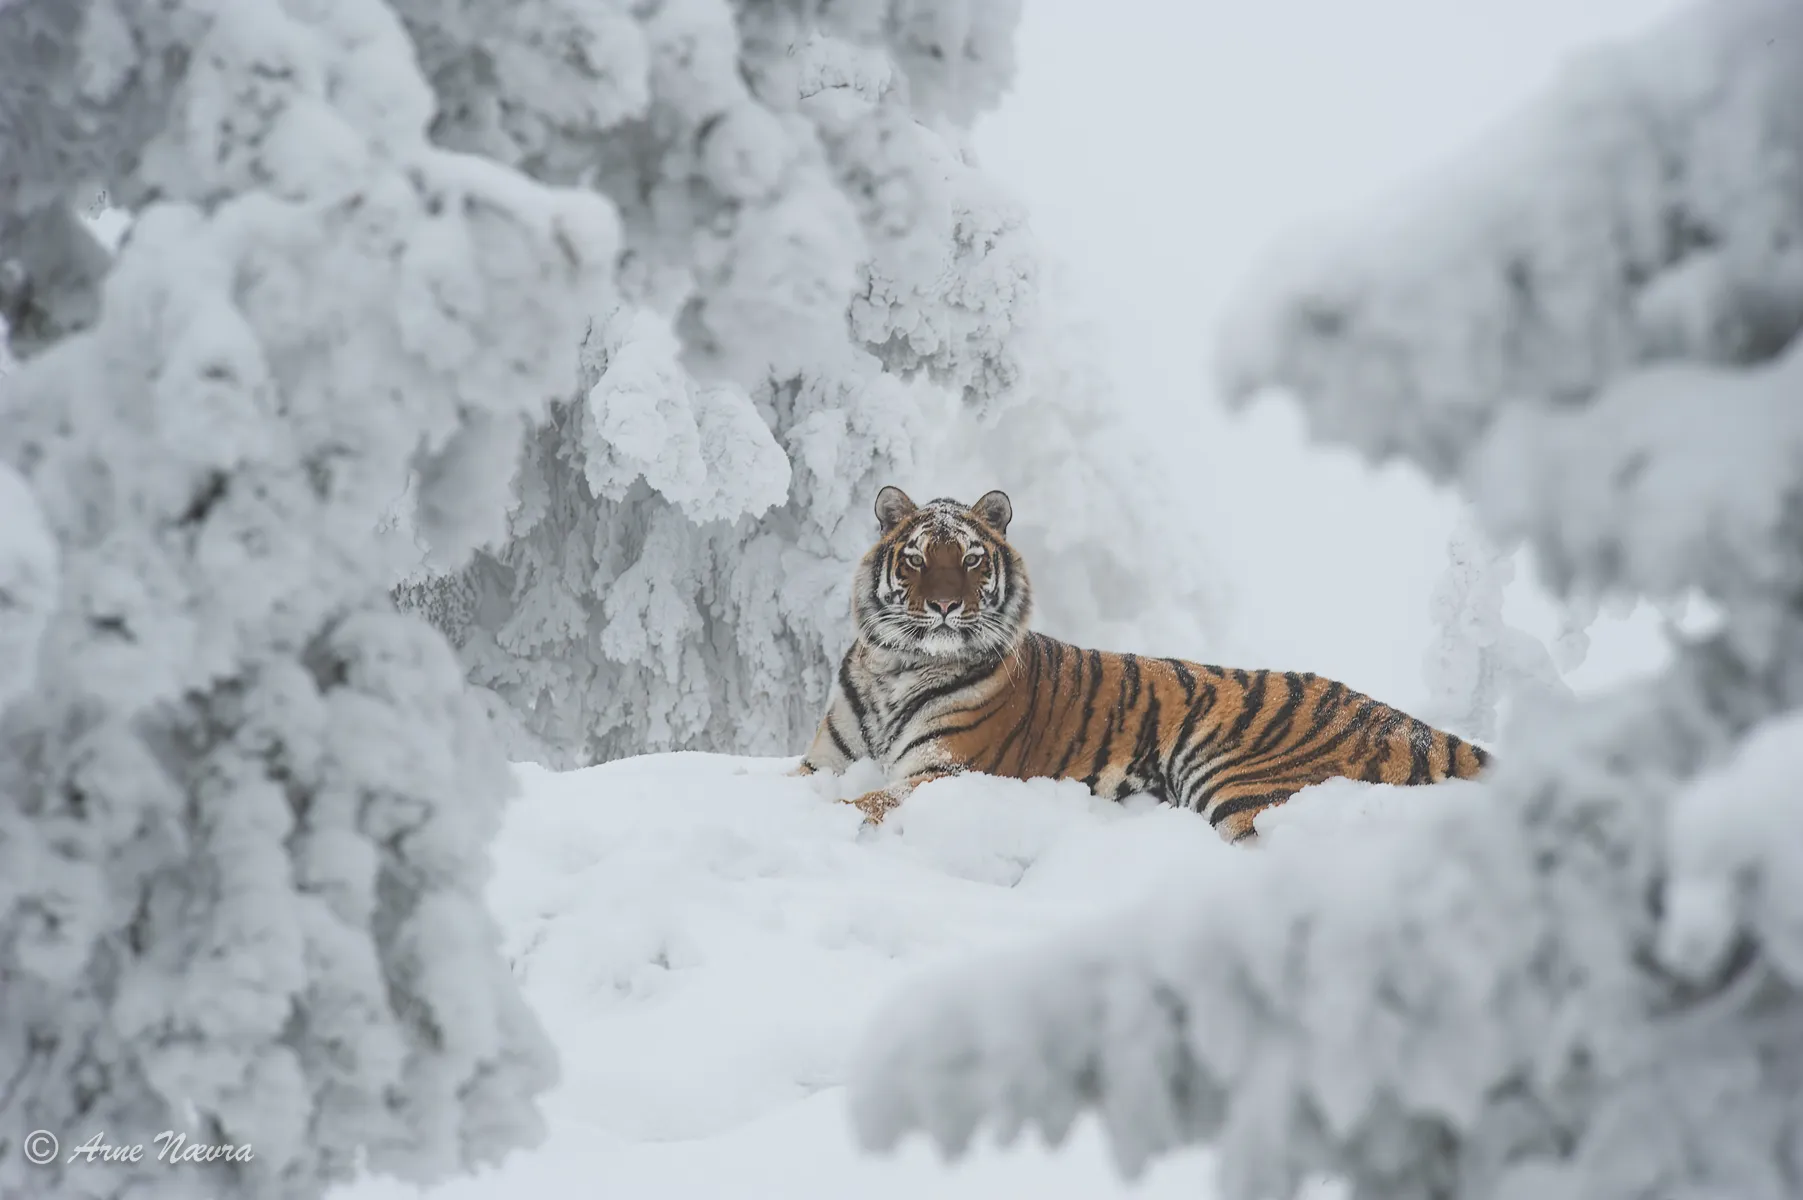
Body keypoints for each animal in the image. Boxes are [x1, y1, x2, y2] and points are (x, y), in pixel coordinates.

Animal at [792, 486, 1493, 843]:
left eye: (969, 559)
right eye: (916, 558)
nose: (943, 606)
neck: (896, 669)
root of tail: (1401, 720)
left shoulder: (944, 771)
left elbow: (864, 802)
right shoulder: (825, 758)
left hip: (1235, 778)